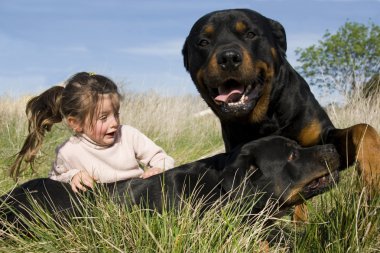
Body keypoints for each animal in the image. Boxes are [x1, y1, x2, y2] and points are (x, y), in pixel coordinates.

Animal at [182, 8, 380, 209]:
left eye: (250, 34)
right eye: (203, 42)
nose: (228, 57)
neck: (266, 117)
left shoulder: (323, 135)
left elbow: (363, 129)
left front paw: (373, 177)